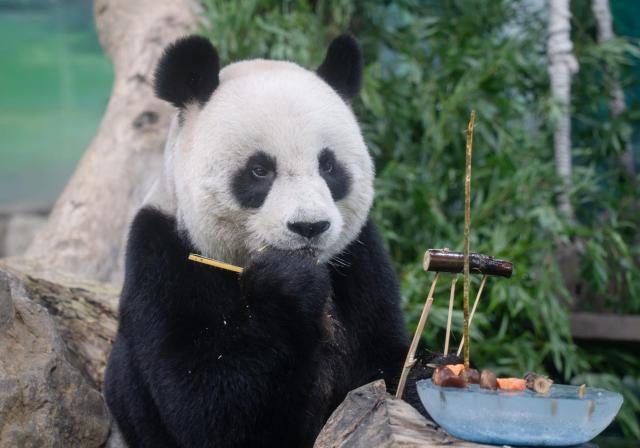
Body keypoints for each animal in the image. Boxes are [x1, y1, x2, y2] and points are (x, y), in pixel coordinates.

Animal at [104, 33, 444, 448]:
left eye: (328, 165)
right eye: (259, 170)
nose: (309, 227)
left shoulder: (360, 258)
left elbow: (383, 360)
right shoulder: (164, 256)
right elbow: (209, 404)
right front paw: (288, 285)